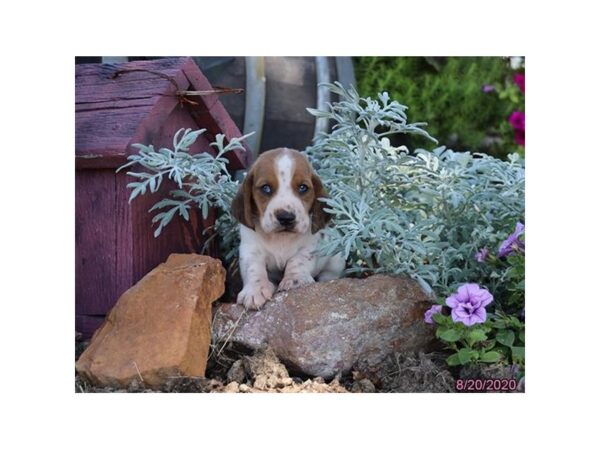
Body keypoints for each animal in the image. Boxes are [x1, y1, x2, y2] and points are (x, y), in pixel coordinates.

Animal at [231, 148, 344, 310]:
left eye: (303, 188)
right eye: (266, 188)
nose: (286, 217)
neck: (281, 238)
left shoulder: (309, 248)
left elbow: (297, 261)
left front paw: (294, 280)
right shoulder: (250, 249)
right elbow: (253, 268)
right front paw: (255, 290)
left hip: (336, 260)